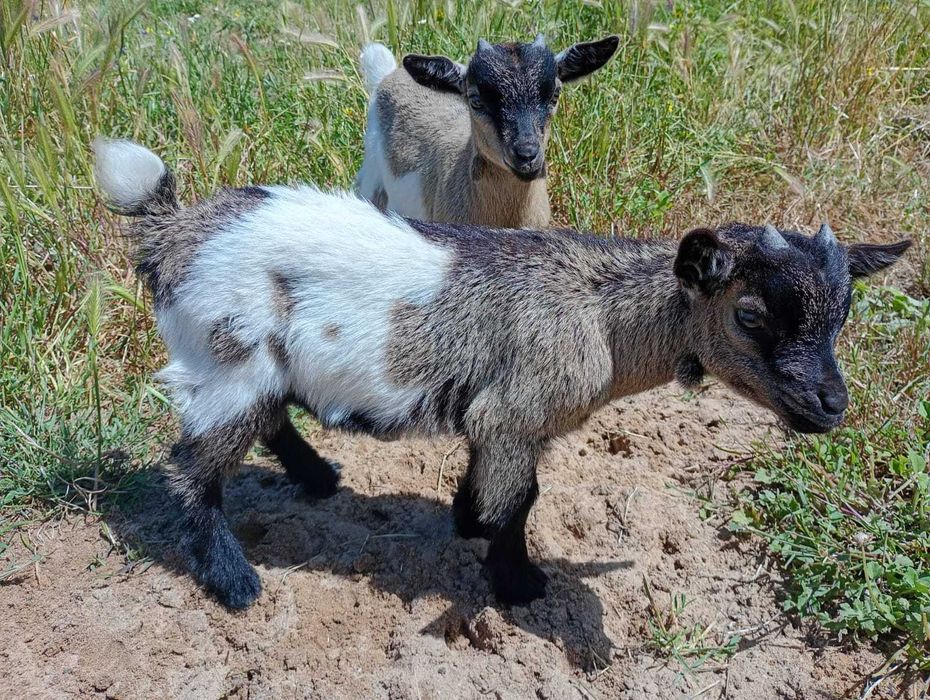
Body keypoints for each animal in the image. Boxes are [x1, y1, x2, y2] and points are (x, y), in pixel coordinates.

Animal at [94, 137, 911, 609]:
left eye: (843, 314)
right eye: (750, 314)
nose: (831, 405)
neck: (603, 316)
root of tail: (172, 231)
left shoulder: (502, 418)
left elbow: (495, 481)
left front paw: (465, 520)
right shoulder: (520, 411)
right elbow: (520, 501)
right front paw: (518, 584)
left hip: (255, 363)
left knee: (265, 420)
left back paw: (320, 477)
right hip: (226, 354)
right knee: (193, 467)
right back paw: (234, 582)